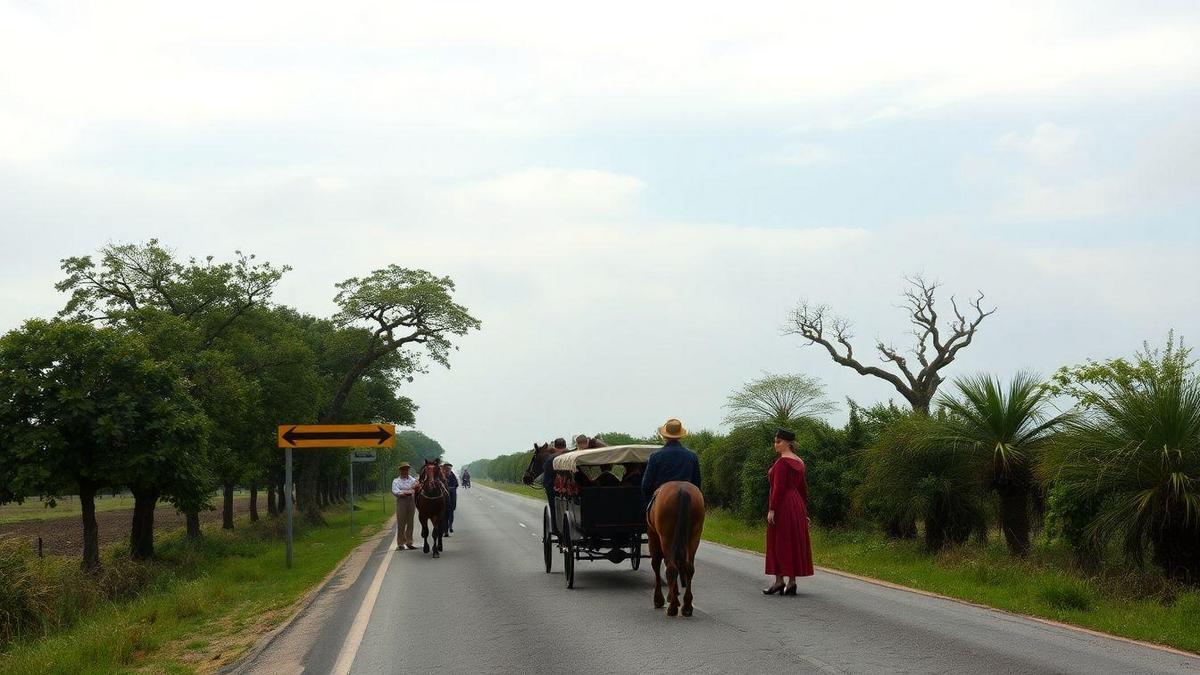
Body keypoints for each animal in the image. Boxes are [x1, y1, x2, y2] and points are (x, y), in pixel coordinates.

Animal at [648, 478, 700, 614]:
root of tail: (682, 490)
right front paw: (673, 595)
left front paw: (660, 599)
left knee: (671, 568)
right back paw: (687, 606)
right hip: (694, 537)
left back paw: (671, 608)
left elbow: (656, 564)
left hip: (666, 538)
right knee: (688, 568)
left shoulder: (653, 536)